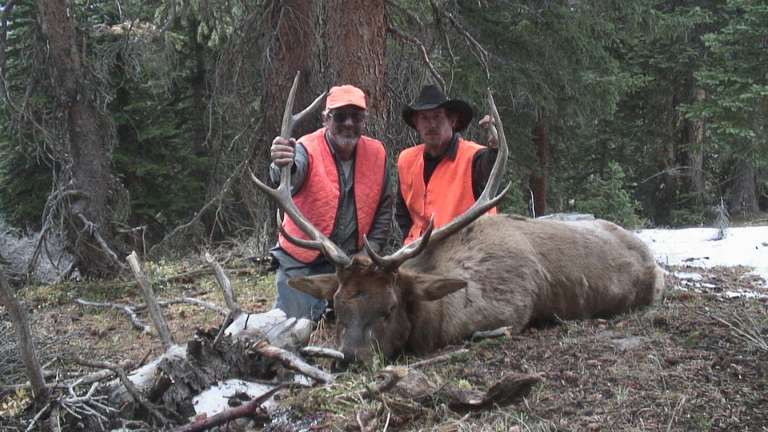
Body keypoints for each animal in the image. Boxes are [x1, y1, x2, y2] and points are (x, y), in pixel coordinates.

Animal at [252, 79, 665, 364]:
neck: (441, 313)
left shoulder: (510, 307)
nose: (350, 358)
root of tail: (644, 247)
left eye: (389, 309)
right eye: (339, 306)